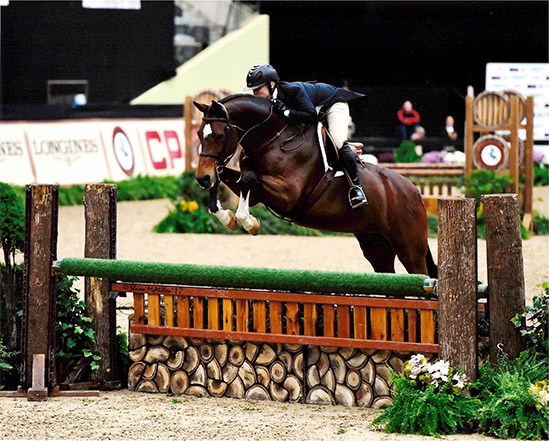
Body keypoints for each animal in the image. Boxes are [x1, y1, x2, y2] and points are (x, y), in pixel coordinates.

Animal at [193, 94, 436, 276]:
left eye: (219, 135)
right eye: (199, 134)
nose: (202, 177)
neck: (273, 139)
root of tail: (414, 190)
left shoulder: (289, 194)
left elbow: (248, 179)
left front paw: (249, 222)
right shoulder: (257, 193)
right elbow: (231, 179)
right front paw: (228, 218)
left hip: (409, 248)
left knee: (419, 271)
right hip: (376, 244)